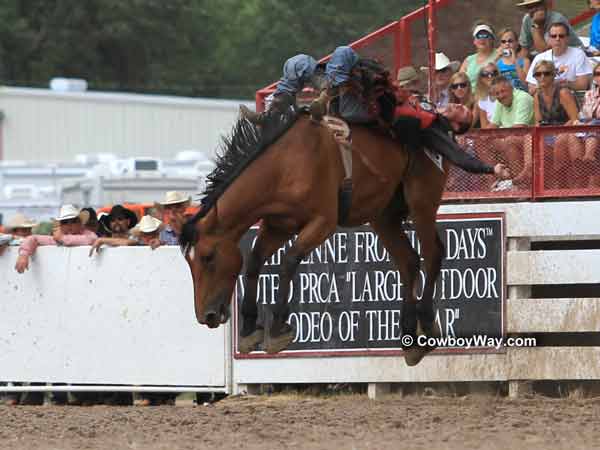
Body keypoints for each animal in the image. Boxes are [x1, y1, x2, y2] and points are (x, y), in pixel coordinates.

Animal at [180, 109, 448, 366]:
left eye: (208, 257)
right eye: (188, 262)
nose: (206, 316)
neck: (284, 165)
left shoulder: (323, 222)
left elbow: (289, 259)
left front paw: (276, 329)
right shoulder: (278, 225)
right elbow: (254, 261)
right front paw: (248, 330)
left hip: (422, 204)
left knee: (432, 253)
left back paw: (427, 323)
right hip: (384, 216)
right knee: (409, 262)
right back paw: (410, 339)